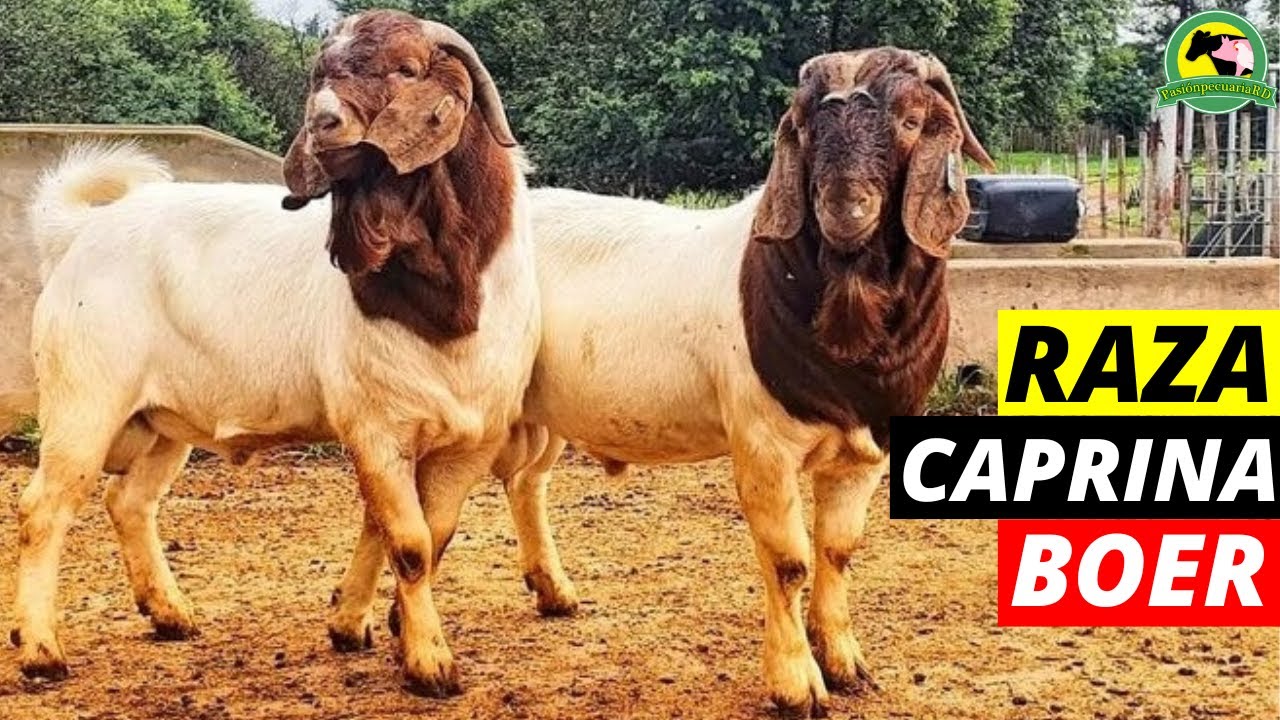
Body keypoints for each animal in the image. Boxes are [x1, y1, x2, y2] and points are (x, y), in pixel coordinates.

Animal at [11, 10, 537, 697]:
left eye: (407, 69)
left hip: (161, 424)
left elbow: (424, 534)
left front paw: (359, 626)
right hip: (85, 402)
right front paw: (430, 664)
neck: (450, 310)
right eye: (321, 72)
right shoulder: (377, 427)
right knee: (43, 510)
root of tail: (82, 230)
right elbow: (410, 543)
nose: (323, 121)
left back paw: (171, 615)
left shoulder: (471, 438)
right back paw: (41, 651)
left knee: (128, 501)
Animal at [336, 48, 995, 715]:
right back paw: (380, 627)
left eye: (911, 120)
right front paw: (796, 684)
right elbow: (789, 561)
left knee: (516, 485)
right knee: (405, 505)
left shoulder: (867, 450)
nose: (844, 209)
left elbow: (838, 552)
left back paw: (514, 598)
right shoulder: (763, 443)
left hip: (534, 409)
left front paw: (844, 663)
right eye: (806, 127)